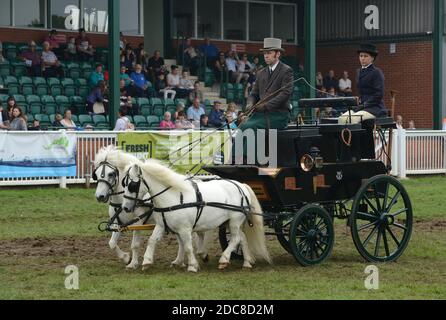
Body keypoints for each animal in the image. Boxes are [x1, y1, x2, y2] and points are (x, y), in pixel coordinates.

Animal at [120, 160, 270, 272]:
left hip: (234, 221)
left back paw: (224, 260)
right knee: (242, 238)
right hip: (230, 222)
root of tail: (241, 185)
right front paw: (146, 261)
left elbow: (187, 246)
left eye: (132, 185)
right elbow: (152, 241)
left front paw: (192, 265)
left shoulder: (185, 229)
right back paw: (247, 263)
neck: (174, 196)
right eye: (124, 184)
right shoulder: (162, 225)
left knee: (236, 238)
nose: (125, 207)